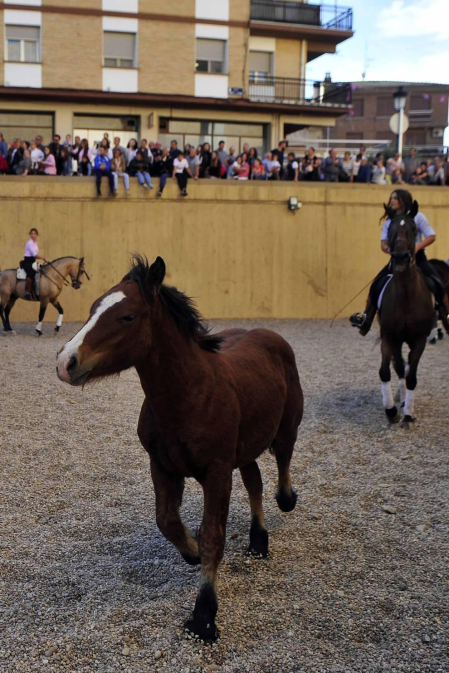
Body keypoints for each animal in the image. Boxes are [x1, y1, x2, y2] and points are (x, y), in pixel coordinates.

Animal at [56, 255, 303, 641]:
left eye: (128, 316)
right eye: (94, 307)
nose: (66, 362)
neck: (190, 395)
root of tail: (269, 335)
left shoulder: (217, 471)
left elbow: (214, 536)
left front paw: (204, 617)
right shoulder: (162, 465)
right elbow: (167, 520)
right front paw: (191, 550)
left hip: (285, 427)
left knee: (282, 461)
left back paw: (285, 501)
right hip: (244, 447)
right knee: (255, 481)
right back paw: (258, 542)